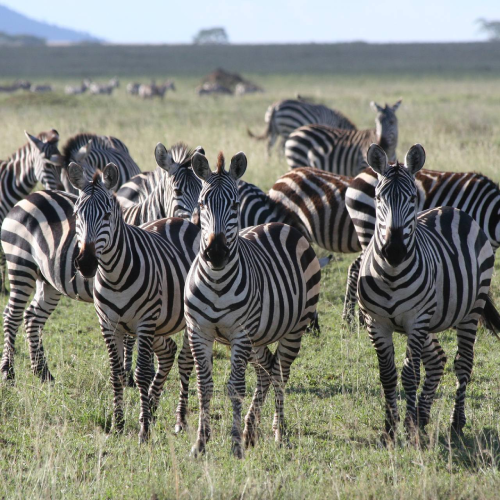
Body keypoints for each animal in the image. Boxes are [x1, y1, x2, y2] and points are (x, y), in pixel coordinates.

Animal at [1, 143, 201, 384]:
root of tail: (27, 198)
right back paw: (8, 371)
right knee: (12, 315)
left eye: (202, 189)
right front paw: (129, 373)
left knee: (32, 317)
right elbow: (130, 337)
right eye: (177, 191)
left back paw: (42, 372)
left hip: (48, 279)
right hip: (21, 265)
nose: (197, 223)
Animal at [66, 163, 199, 442]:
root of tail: (180, 220)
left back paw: (179, 420)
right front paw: (118, 424)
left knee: (184, 361)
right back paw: (153, 408)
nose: (85, 263)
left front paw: (144, 430)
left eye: (107, 215)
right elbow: (116, 373)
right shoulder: (108, 325)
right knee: (168, 352)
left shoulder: (145, 323)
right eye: (76, 214)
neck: (114, 275)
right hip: (162, 322)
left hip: (187, 318)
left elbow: (141, 374)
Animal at [186, 151, 322, 458]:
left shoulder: (240, 334)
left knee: (280, 374)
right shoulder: (198, 332)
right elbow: (204, 386)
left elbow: (235, 387)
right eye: (202, 203)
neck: (216, 281)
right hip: (258, 337)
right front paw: (200, 443)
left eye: (235, 205)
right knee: (266, 370)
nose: (216, 253)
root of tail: (281, 225)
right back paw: (251, 430)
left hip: (291, 330)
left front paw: (235, 445)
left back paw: (278, 432)